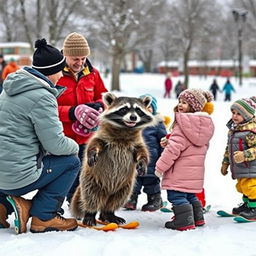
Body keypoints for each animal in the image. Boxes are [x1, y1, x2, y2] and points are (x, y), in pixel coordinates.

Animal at [69, 92, 154, 226]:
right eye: (124, 109)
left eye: (138, 110)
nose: (133, 117)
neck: (125, 129)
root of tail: (107, 192)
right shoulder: (102, 136)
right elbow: (94, 144)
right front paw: (92, 152)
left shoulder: (137, 142)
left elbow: (142, 152)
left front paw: (142, 162)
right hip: (91, 180)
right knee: (91, 196)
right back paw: (90, 214)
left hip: (125, 185)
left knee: (118, 198)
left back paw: (109, 214)